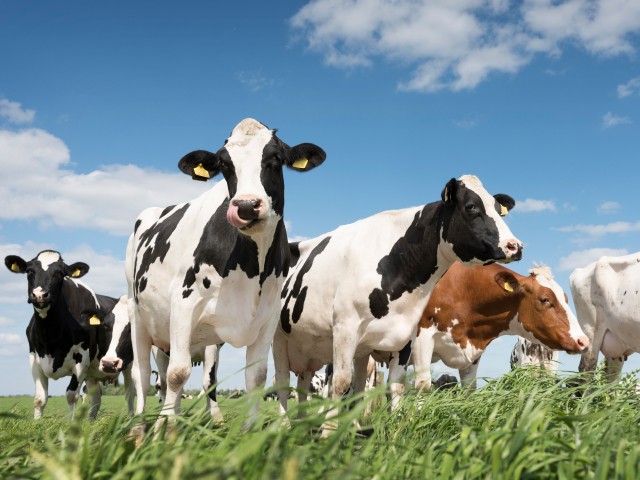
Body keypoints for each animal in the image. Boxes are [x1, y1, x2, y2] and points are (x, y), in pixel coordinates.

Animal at [4, 250, 134, 419]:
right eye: (29, 271)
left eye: (59, 273)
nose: (39, 295)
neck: (50, 335)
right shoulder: (34, 359)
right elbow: (39, 399)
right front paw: (37, 422)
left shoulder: (82, 360)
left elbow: (71, 395)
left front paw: (70, 424)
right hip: (93, 373)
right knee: (96, 397)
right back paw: (91, 421)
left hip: (128, 364)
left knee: (130, 393)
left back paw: (132, 419)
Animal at [126, 118, 326, 428]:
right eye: (224, 164)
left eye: (275, 158)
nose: (245, 206)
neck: (252, 268)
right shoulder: (184, 304)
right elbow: (177, 373)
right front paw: (165, 430)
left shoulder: (267, 317)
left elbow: (256, 377)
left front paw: (251, 429)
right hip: (138, 314)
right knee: (144, 375)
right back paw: (140, 426)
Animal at [273, 174, 523, 433]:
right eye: (472, 206)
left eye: (499, 210)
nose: (515, 246)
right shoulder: (345, 327)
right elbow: (341, 383)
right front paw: (328, 434)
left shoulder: (405, 335)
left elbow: (396, 386)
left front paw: (394, 431)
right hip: (278, 338)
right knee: (282, 382)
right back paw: (283, 426)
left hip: (319, 349)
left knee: (314, 384)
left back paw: (306, 426)